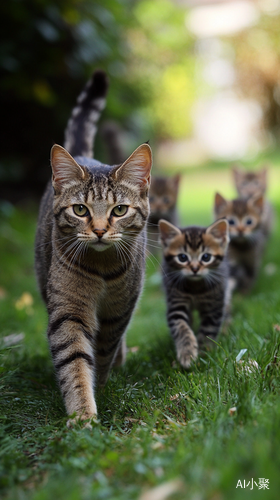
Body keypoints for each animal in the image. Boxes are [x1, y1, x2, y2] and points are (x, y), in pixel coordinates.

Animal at [35, 69, 153, 426]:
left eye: (119, 210)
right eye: (80, 210)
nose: (100, 230)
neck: (101, 272)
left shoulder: (120, 309)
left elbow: (103, 349)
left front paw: (101, 382)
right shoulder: (68, 311)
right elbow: (73, 359)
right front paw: (83, 415)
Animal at [160, 218, 230, 368]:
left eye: (206, 257)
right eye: (182, 257)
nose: (195, 268)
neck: (195, 289)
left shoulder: (214, 307)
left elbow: (208, 330)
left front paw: (204, 352)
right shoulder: (176, 303)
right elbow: (182, 328)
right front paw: (187, 353)